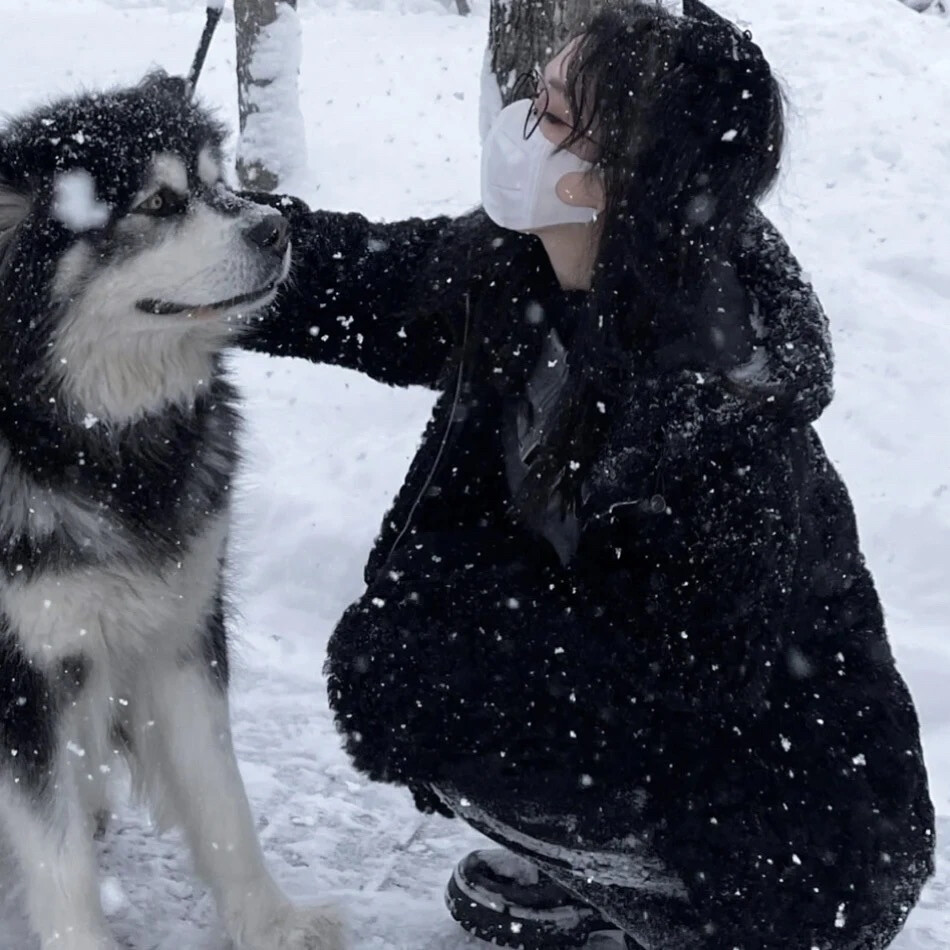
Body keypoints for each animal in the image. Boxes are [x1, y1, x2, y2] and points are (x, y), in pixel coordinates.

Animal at [0, 72, 342, 950]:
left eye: (220, 181)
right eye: (158, 203)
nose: (276, 225)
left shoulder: (181, 629)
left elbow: (222, 798)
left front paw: (269, 919)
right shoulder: (22, 675)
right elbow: (54, 850)